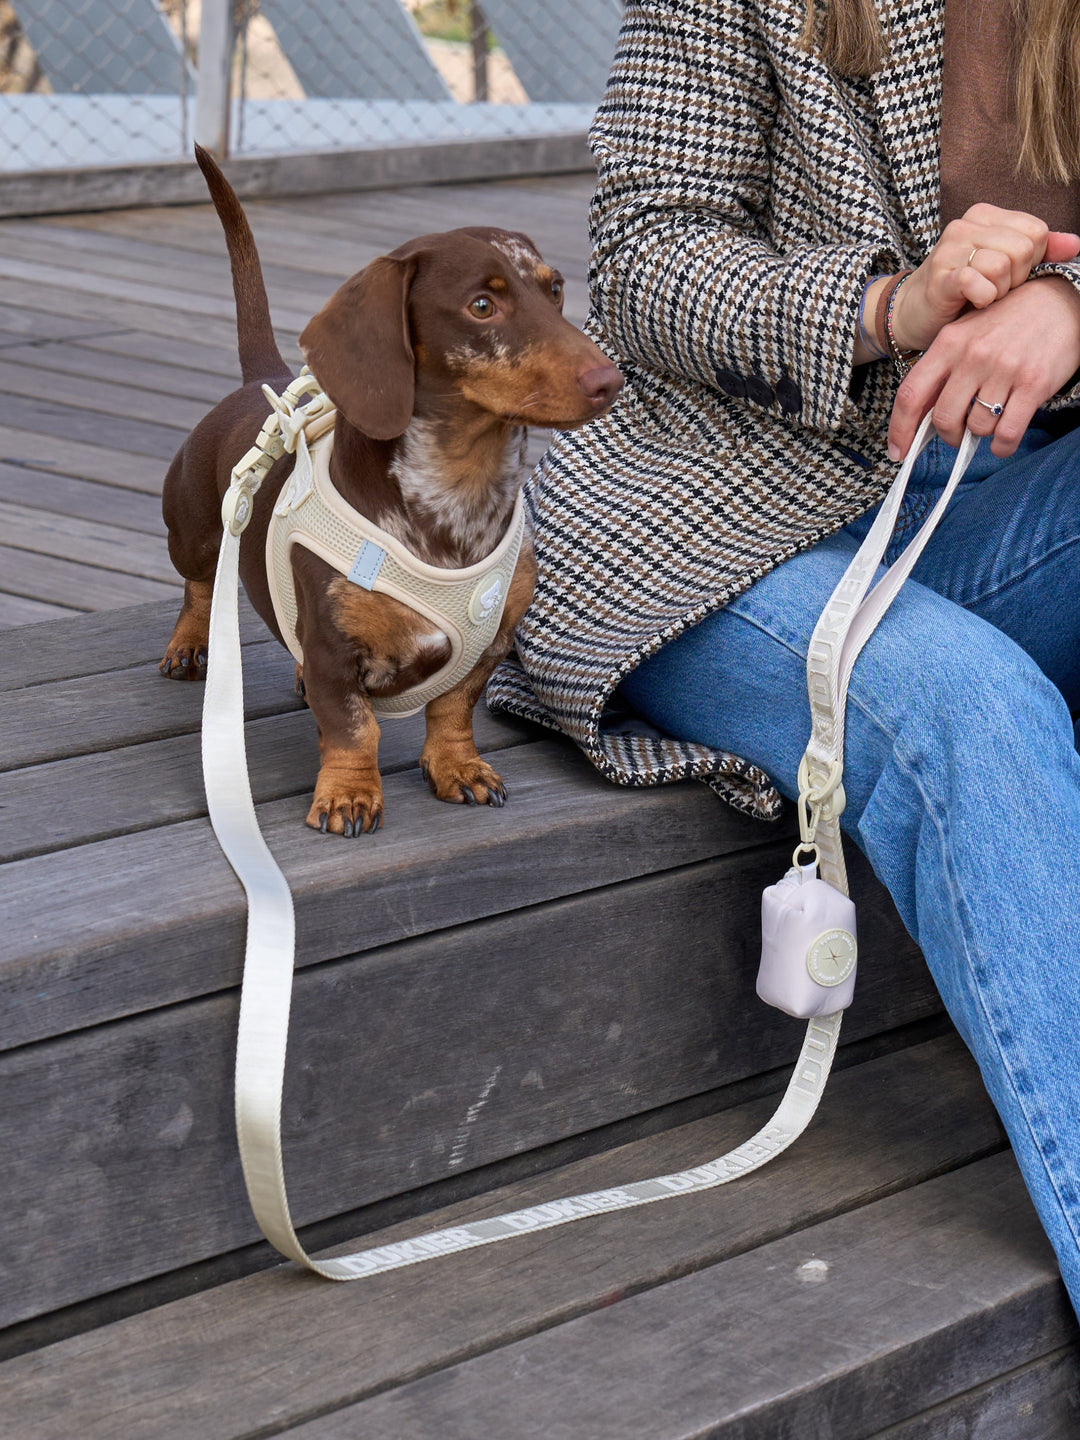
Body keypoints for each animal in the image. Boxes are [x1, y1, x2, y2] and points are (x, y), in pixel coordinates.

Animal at [156, 144, 622, 835]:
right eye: (482, 306)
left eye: (556, 288)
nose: (608, 381)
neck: (457, 493)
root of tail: (264, 383)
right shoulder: (333, 652)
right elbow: (354, 728)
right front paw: (349, 795)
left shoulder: (488, 647)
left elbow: (453, 709)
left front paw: (458, 768)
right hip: (192, 528)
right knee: (198, 583)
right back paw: (188, 644)